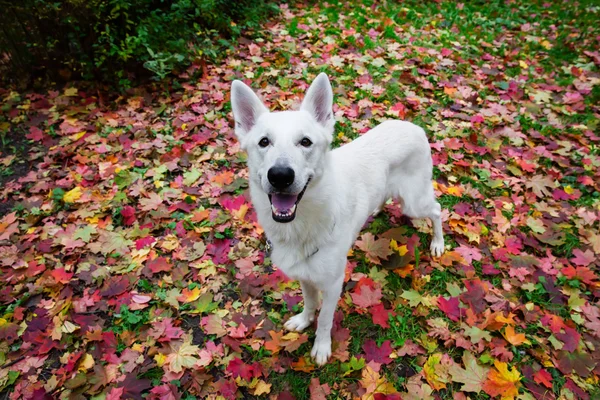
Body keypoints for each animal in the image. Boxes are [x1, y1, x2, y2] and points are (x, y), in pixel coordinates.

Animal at [230, 73, 446, 364]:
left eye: (305, 142)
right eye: (264, 142)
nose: (280, 176)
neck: (303, 223)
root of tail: (414, 126)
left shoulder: (333, 284)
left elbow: (324, 319)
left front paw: (321, 347)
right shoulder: (305, 276)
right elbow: (310, 303)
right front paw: (303, 321)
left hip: (414, 203)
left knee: (437, 209)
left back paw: (438, 243)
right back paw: (377, 210)